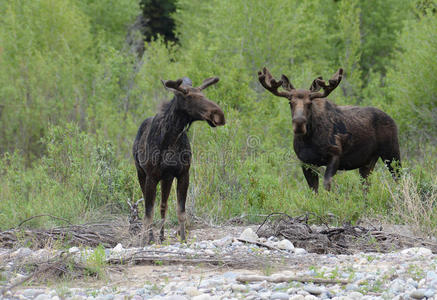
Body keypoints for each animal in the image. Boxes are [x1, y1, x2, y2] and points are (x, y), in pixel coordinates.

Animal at [132, 75, 225, 244]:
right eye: (189, 96)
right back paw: (151, 237)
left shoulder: (183, 174)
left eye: (203, 94)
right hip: (141, 173)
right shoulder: (151, 176)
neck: (172, 137)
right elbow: (148, 214)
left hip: (166, 179)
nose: (219, 115)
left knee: (163, 205)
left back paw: (161, 236)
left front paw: (183, 240)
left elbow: (181, 212)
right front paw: (143, 243)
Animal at [258, 67, 400, 192]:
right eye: (290, 102)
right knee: (366, 186)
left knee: (398, 178)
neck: (308, 140)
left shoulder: (335, 154)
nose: (299, 123)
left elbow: (327, 185)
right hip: (368, 162)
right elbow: (313, 190)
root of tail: (392, 119)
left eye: (310, 103)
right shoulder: (305, 162)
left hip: (392, 153)